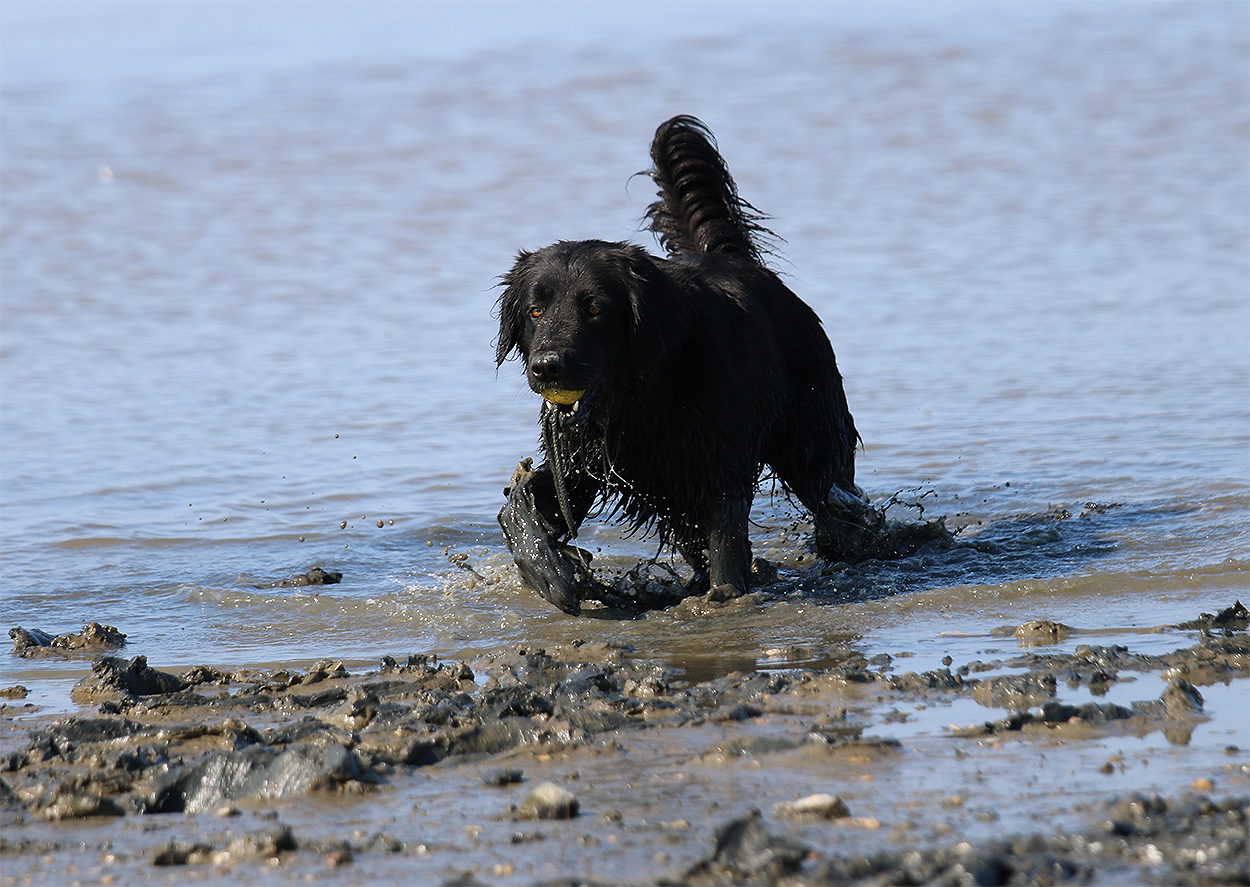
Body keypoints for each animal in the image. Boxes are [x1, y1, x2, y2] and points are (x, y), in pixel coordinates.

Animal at [495, 115, 872, 613]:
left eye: (594, 308)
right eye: (535, 311)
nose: (545, 367)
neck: (643, 396)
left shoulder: (719, 461)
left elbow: (726, 533)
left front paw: (726, 595)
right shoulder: (578, 465)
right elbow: (522, 507)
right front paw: (549, 571)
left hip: (808, 432)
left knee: (833, 500)